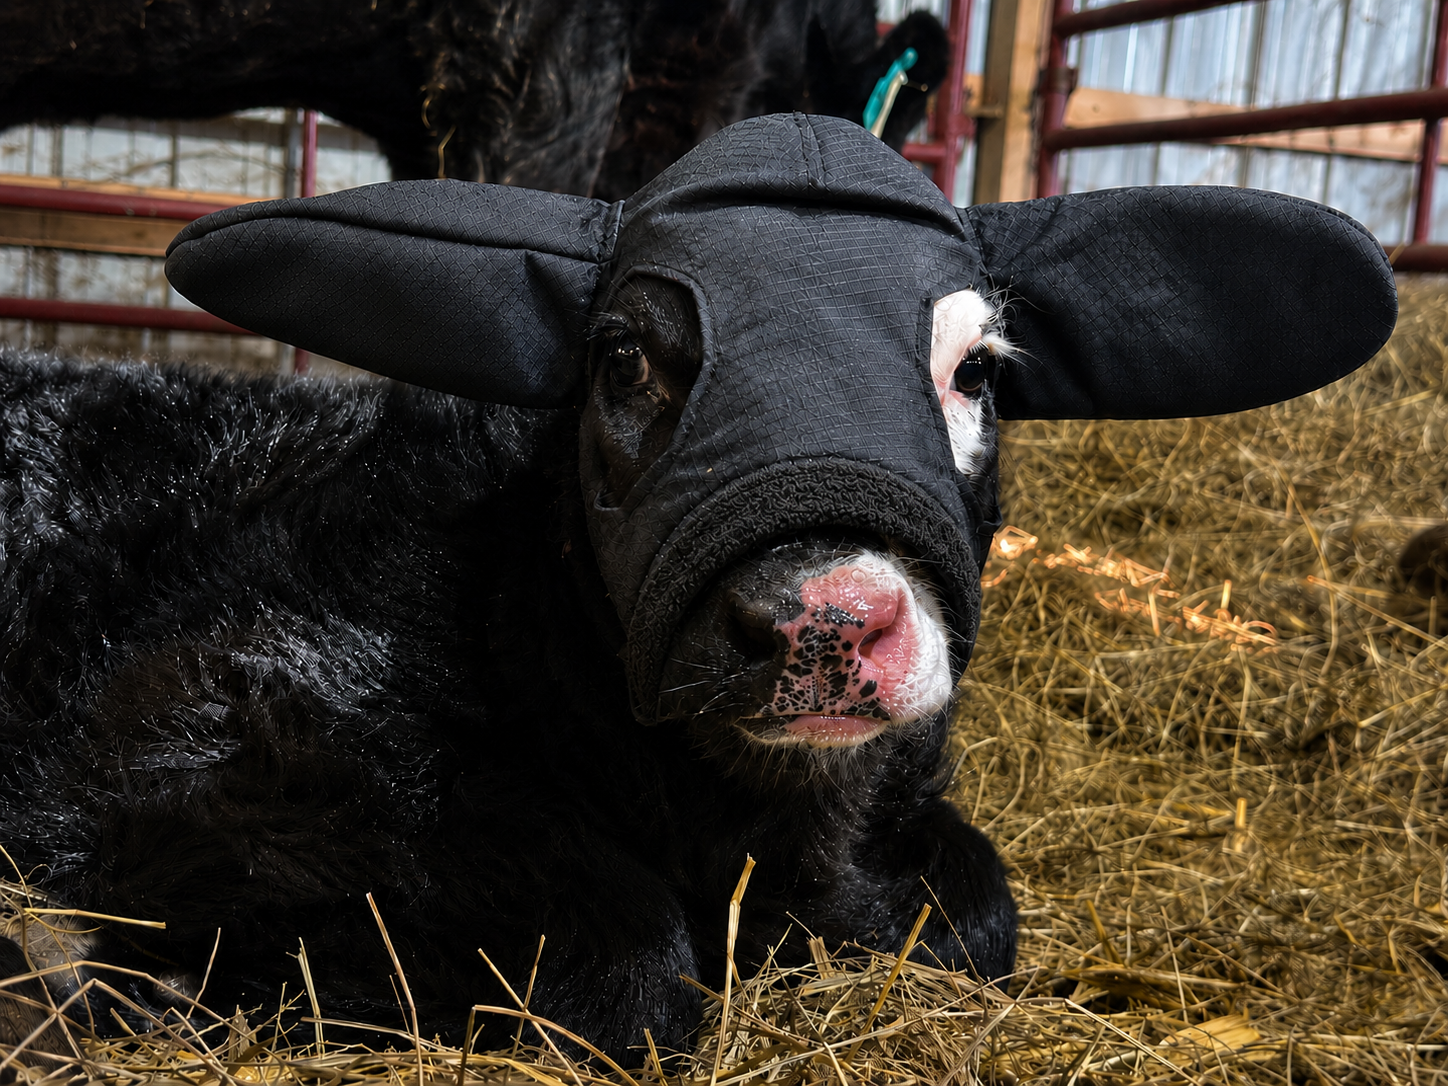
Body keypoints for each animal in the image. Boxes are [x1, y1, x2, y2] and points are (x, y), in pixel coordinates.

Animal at [0, 114, 1396, 1069]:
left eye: (977, 373)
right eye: (624, 358)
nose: (825, 618)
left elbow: (975, 909)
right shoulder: (211, 732)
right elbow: (620, 956)